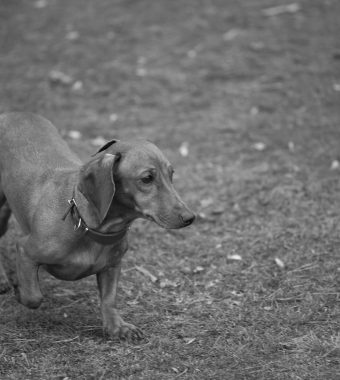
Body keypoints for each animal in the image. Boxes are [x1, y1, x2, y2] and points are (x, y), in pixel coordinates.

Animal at [0, 112, 195, 338]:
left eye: (171, 174)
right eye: (147, 178)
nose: (190, 217)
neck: (86, 226)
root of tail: (13, 113)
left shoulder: (112, 266)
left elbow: (109, 300)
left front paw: (117, 326)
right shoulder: (25, 251)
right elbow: (33, 296)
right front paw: (19, 293)